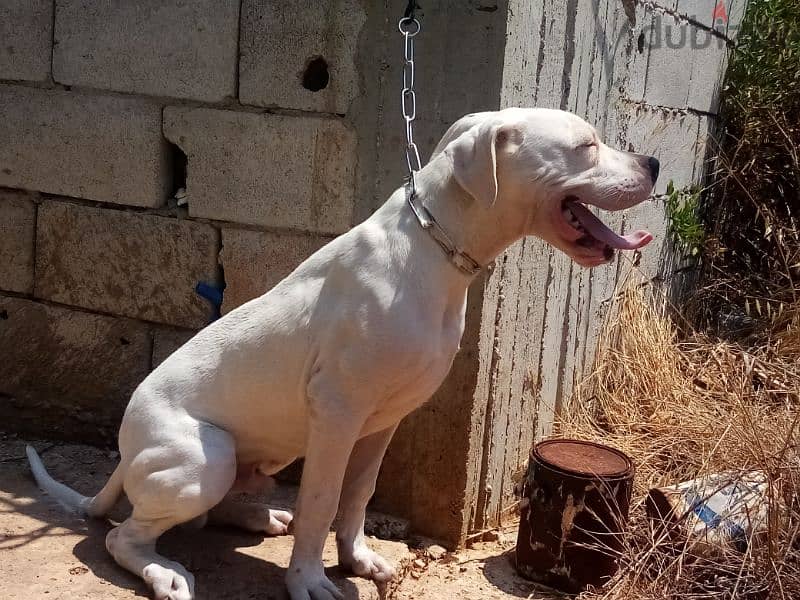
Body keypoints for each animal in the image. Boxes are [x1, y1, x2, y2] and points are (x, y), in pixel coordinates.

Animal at [28, 109, 660, 600]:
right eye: (586, 145)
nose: (653, 163)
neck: (435, 251)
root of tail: (123, 451)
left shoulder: (383, 421)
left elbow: (356, 494)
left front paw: (357, 559)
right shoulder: (337, 414)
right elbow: (322, 500)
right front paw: (308, 580)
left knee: (209, 512)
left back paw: (259, 515)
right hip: (204, 457)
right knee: (124, 535)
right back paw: (164, 572)